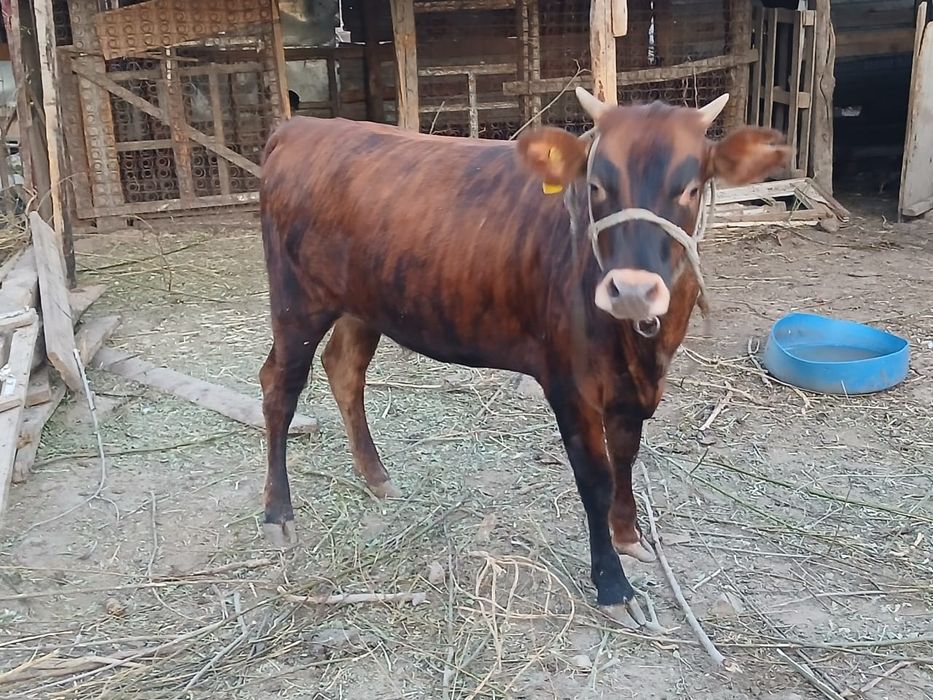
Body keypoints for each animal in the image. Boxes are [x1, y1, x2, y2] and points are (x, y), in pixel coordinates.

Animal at [258, 88, 789, 620]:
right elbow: (595, 479)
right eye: (596, 185)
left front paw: (628, 535)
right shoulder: (568, 382)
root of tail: (302, 127)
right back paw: (277, 513)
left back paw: (376, 476)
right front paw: (613, 586)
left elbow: (625, 455)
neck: (641, 349)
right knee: (279, 387)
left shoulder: (628, 387)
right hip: (295, 301)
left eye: (691, 188)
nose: (632, 290)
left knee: (344, 369)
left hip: (363, 303)